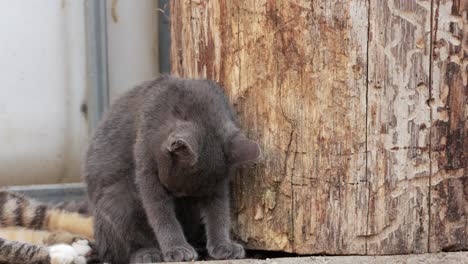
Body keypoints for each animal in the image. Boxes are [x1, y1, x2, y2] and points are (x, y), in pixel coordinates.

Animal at [82, 75, 262, 262]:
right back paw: (148, 253)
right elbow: (161, 213)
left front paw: (223, 245)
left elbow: (219, 212)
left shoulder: (217, 185)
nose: (176, 197)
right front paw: (177, 249)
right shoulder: (146, 165)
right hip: (119, 200)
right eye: (171, 189)